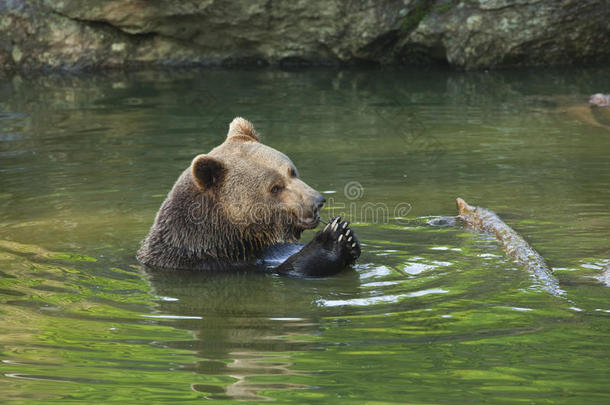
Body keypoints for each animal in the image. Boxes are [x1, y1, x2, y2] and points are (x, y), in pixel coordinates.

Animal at [135, 115, 358, 276]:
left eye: (292, 172)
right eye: (275, 188)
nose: (317, 201)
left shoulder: (272, 251)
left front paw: (348, 237)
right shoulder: (209, 265)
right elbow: (290, 269)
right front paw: (334, 237)